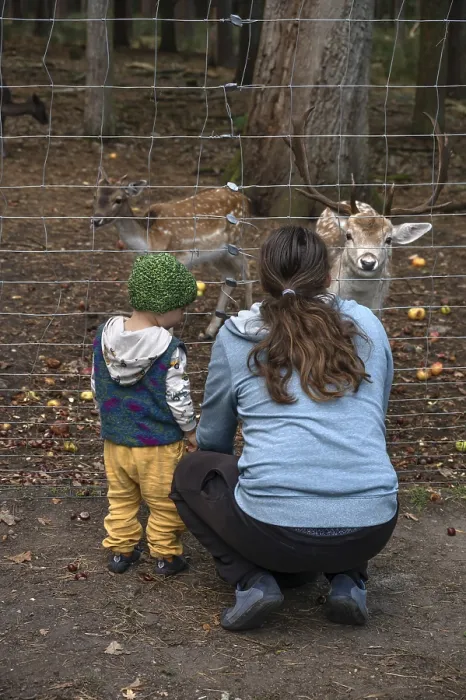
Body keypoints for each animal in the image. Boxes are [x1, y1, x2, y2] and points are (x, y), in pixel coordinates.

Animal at [91, 172, 253, 339]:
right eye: (95, 195)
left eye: (118, 199)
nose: (96, 220)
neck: (149, 240)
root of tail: (247, 200)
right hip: (216, 253)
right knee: (230, 275)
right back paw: (209, 331)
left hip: (235, 242)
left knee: (247, 269)